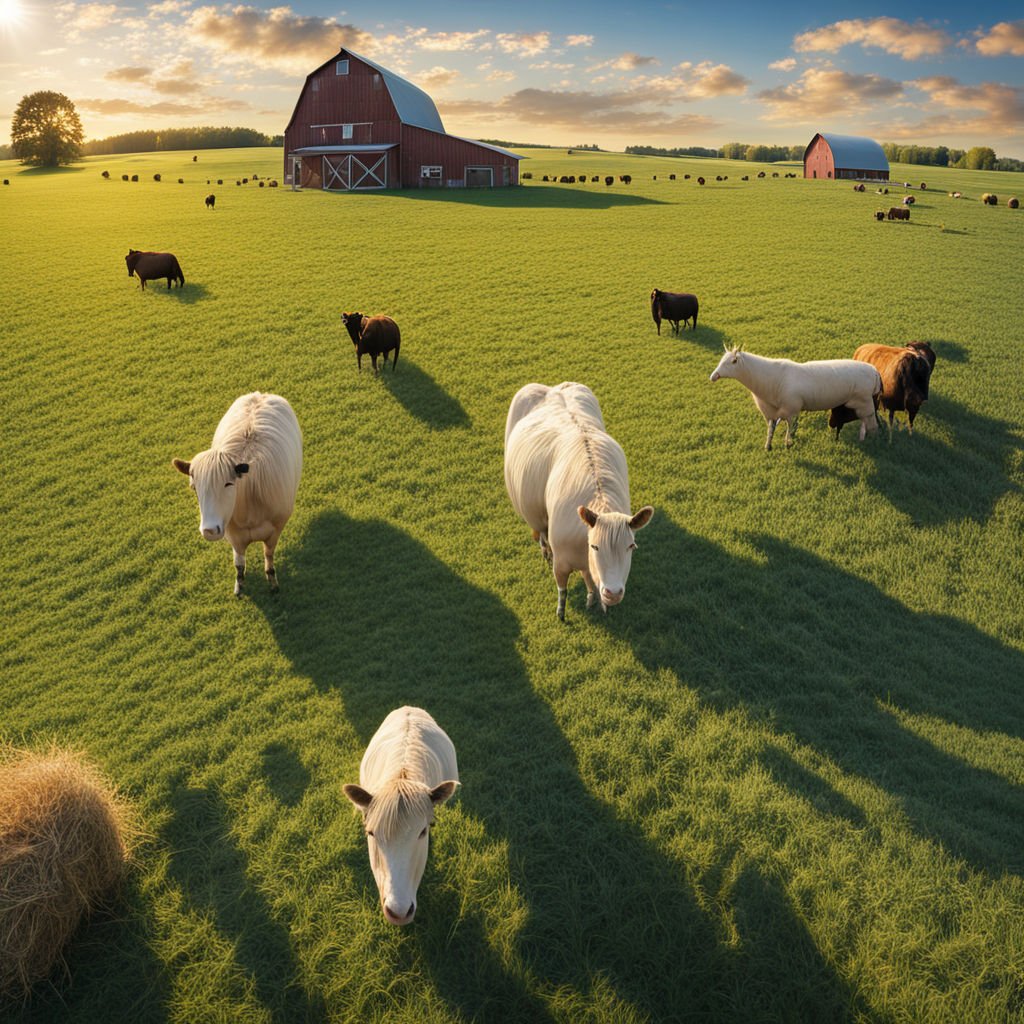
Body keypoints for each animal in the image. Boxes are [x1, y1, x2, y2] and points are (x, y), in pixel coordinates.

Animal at [169, 393, 299, 598]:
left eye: (229, 484)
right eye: (194, 488)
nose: (209, 530)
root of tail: (260, 394)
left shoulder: (276, 529)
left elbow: (269, 555)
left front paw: (273, 583)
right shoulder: (233, 536)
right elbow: (239, 565)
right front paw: (239, 588)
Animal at [503, 382, 655, 618]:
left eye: (631, 546)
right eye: (595, 546)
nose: (613, 593)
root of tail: (553, 388)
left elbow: (588, 579)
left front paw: (593, 599)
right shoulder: (562, 563)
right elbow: (562, 590)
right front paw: (561, 613)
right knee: (542, 533)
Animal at [708, 346, 884, 450]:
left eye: (734, 361)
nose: (713, 376)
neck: (770, 379)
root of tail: (875, 371)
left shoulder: (791, 410)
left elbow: (789, 429)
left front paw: (788, 444)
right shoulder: (771, 413)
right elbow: (771, 430)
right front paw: (768, 447)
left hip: (865, 402)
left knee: (873, 425)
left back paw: (874, 442)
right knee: (866, 423)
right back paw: (863, 439)